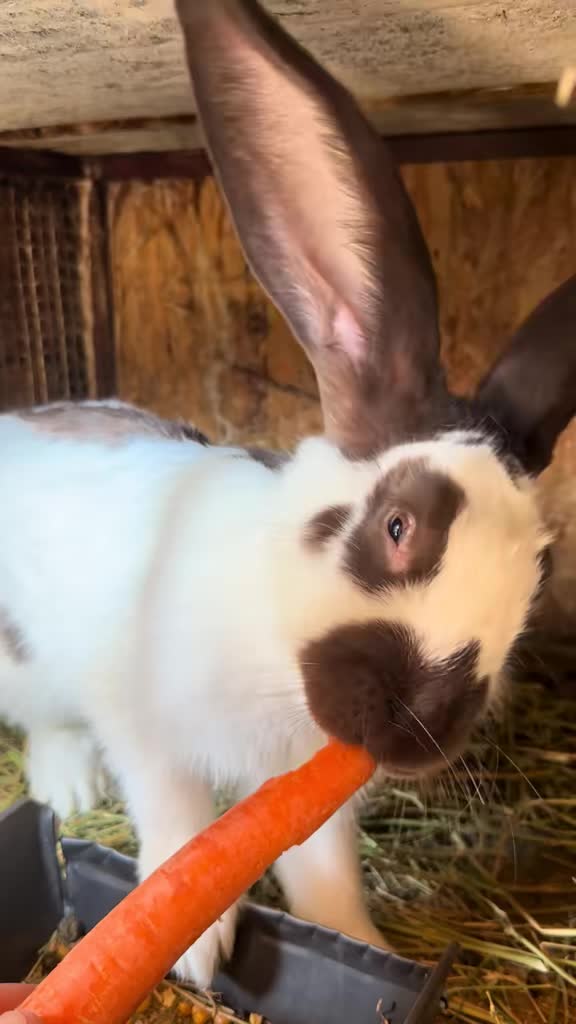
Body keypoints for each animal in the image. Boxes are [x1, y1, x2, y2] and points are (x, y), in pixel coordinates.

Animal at [1, 0, 576, 990]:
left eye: (539, 577)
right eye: (398, 526)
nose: (419, 733)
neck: (271, 644)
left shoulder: (317, 797)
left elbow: (324, 872)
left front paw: (363, 945)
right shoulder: (148, 731)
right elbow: (179, 823)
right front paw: (197, 949)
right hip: (25, 660)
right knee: (47, 722)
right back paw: (71, 783)